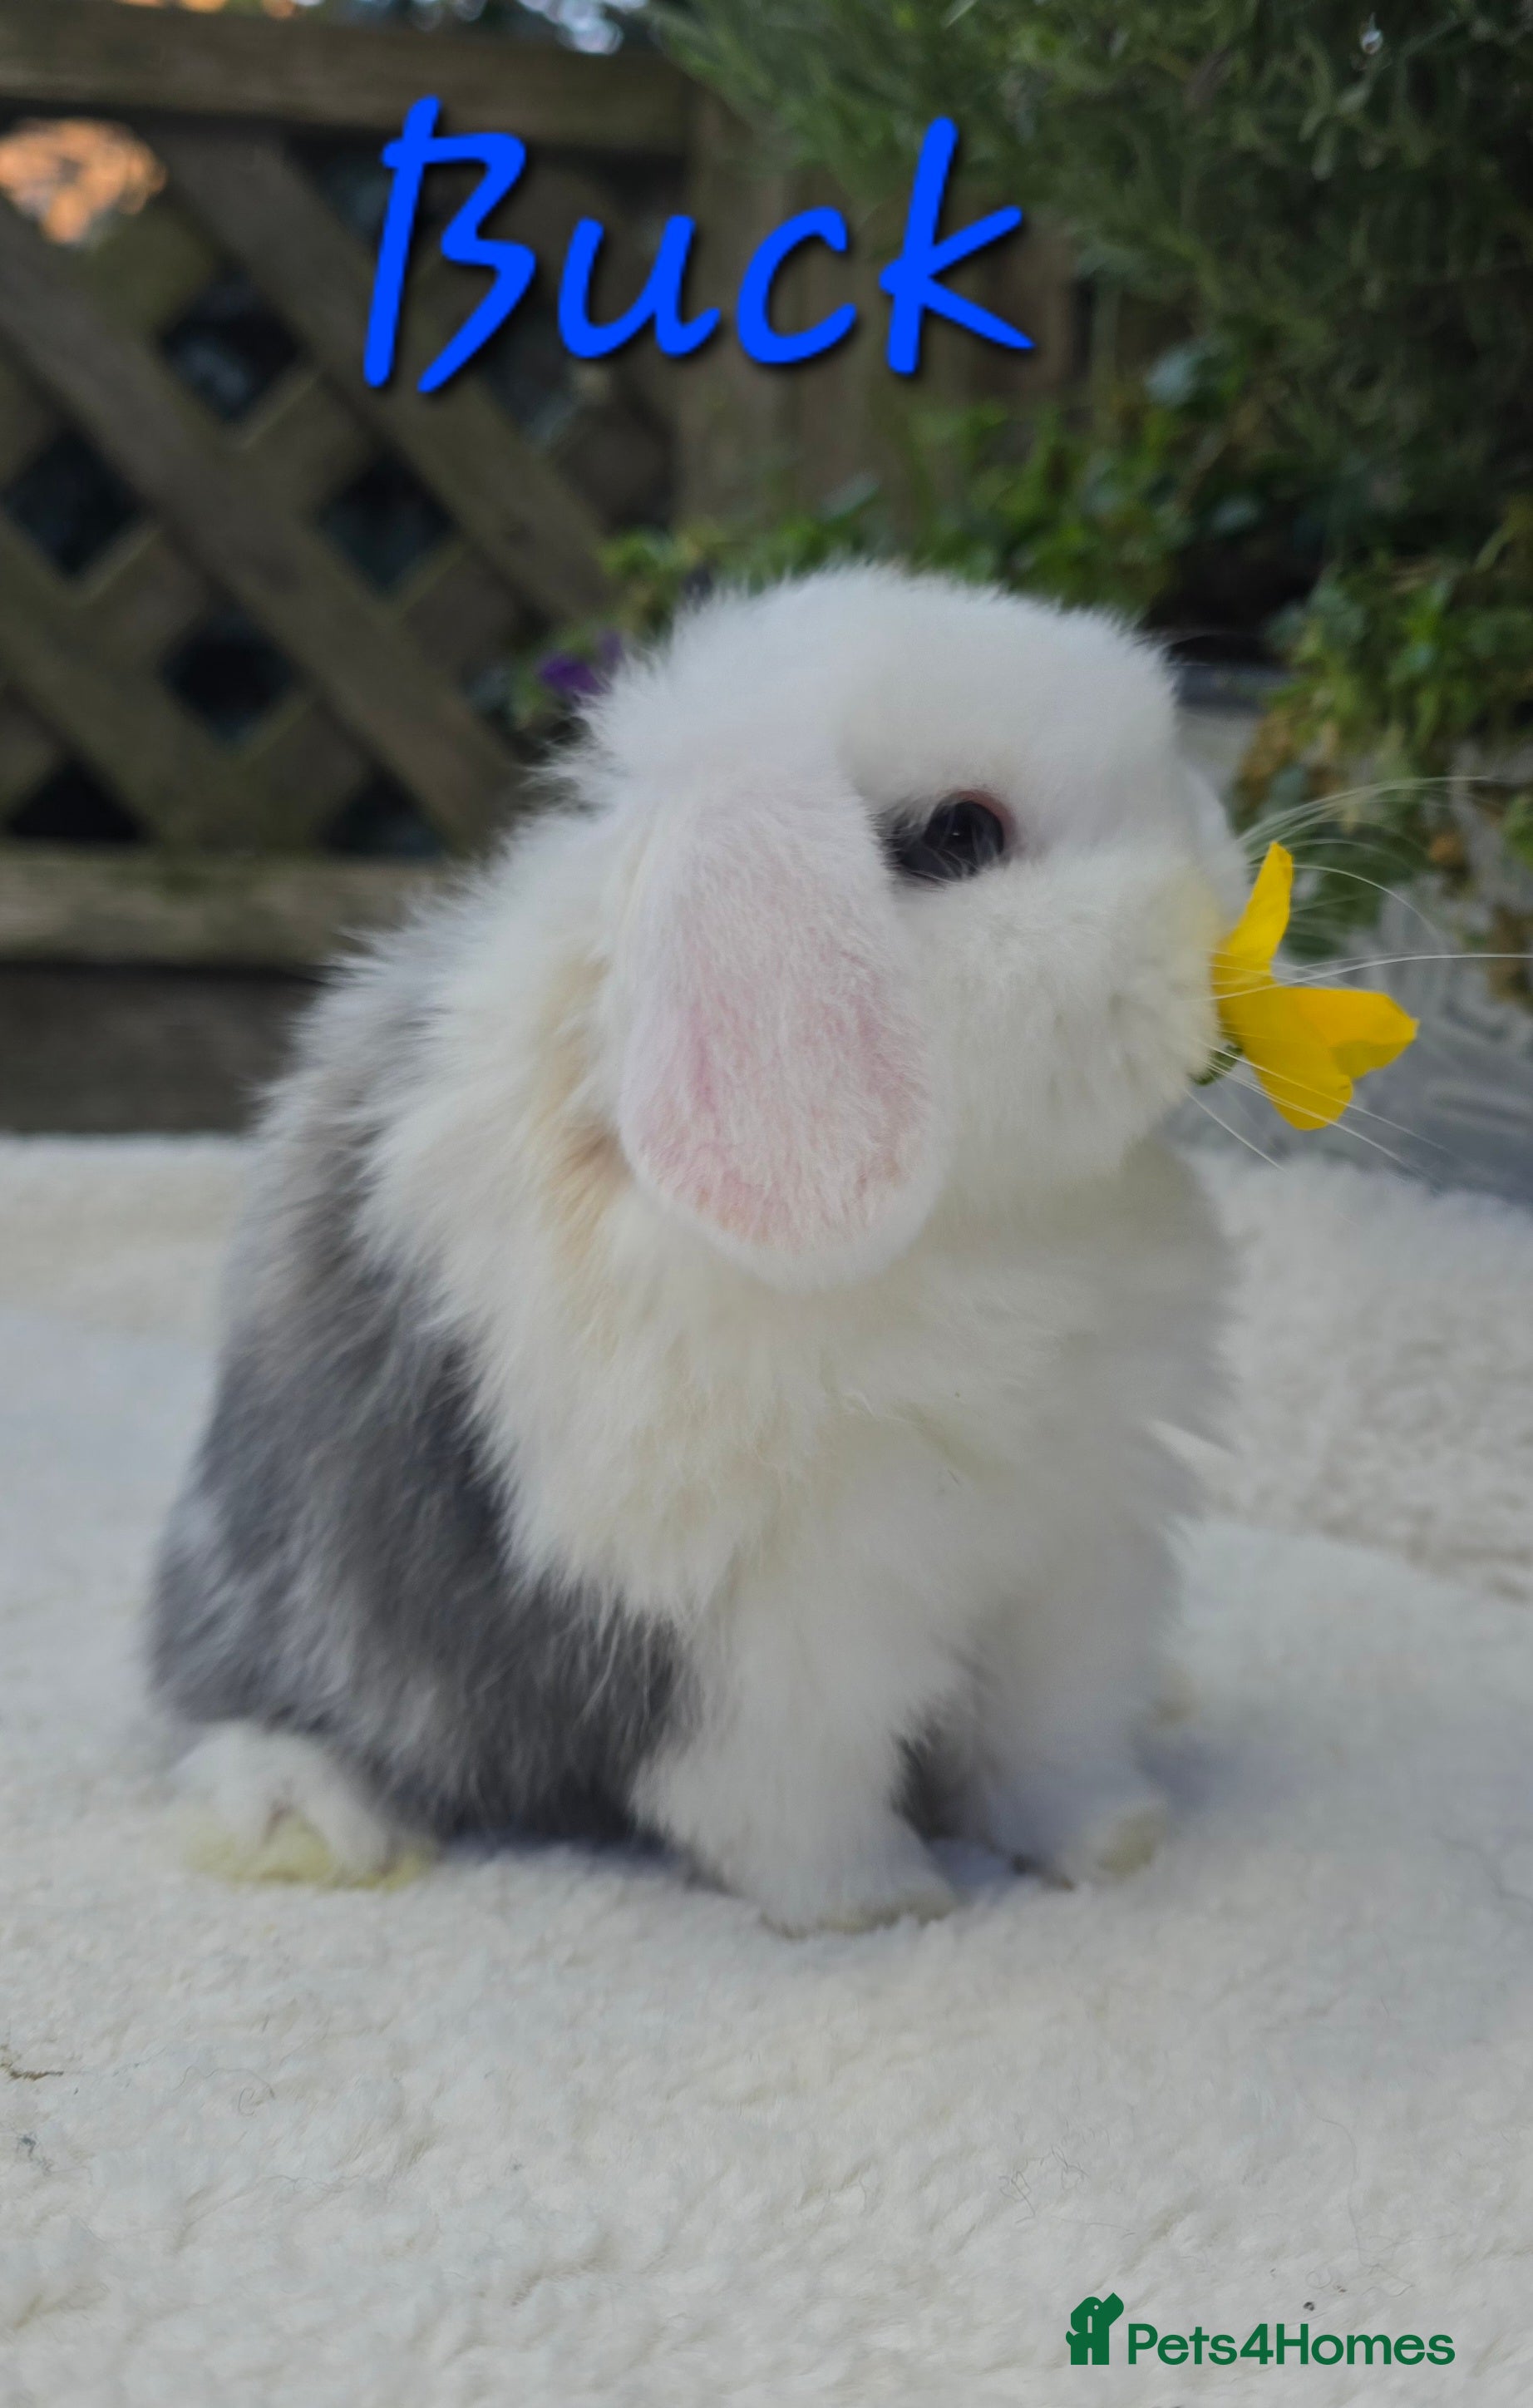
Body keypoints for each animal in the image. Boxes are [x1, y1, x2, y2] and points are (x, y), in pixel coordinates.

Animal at [149, 564, 1243, 1934]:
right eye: (960, 835)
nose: (1220, 907)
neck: (970, 1233)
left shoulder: (1068, 1553)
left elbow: (1050, 1743)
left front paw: (1116, 1844)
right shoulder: (765, 1626)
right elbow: (791, 1795)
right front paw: (880, 1904)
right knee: (244, 1715)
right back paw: (308, 1815)